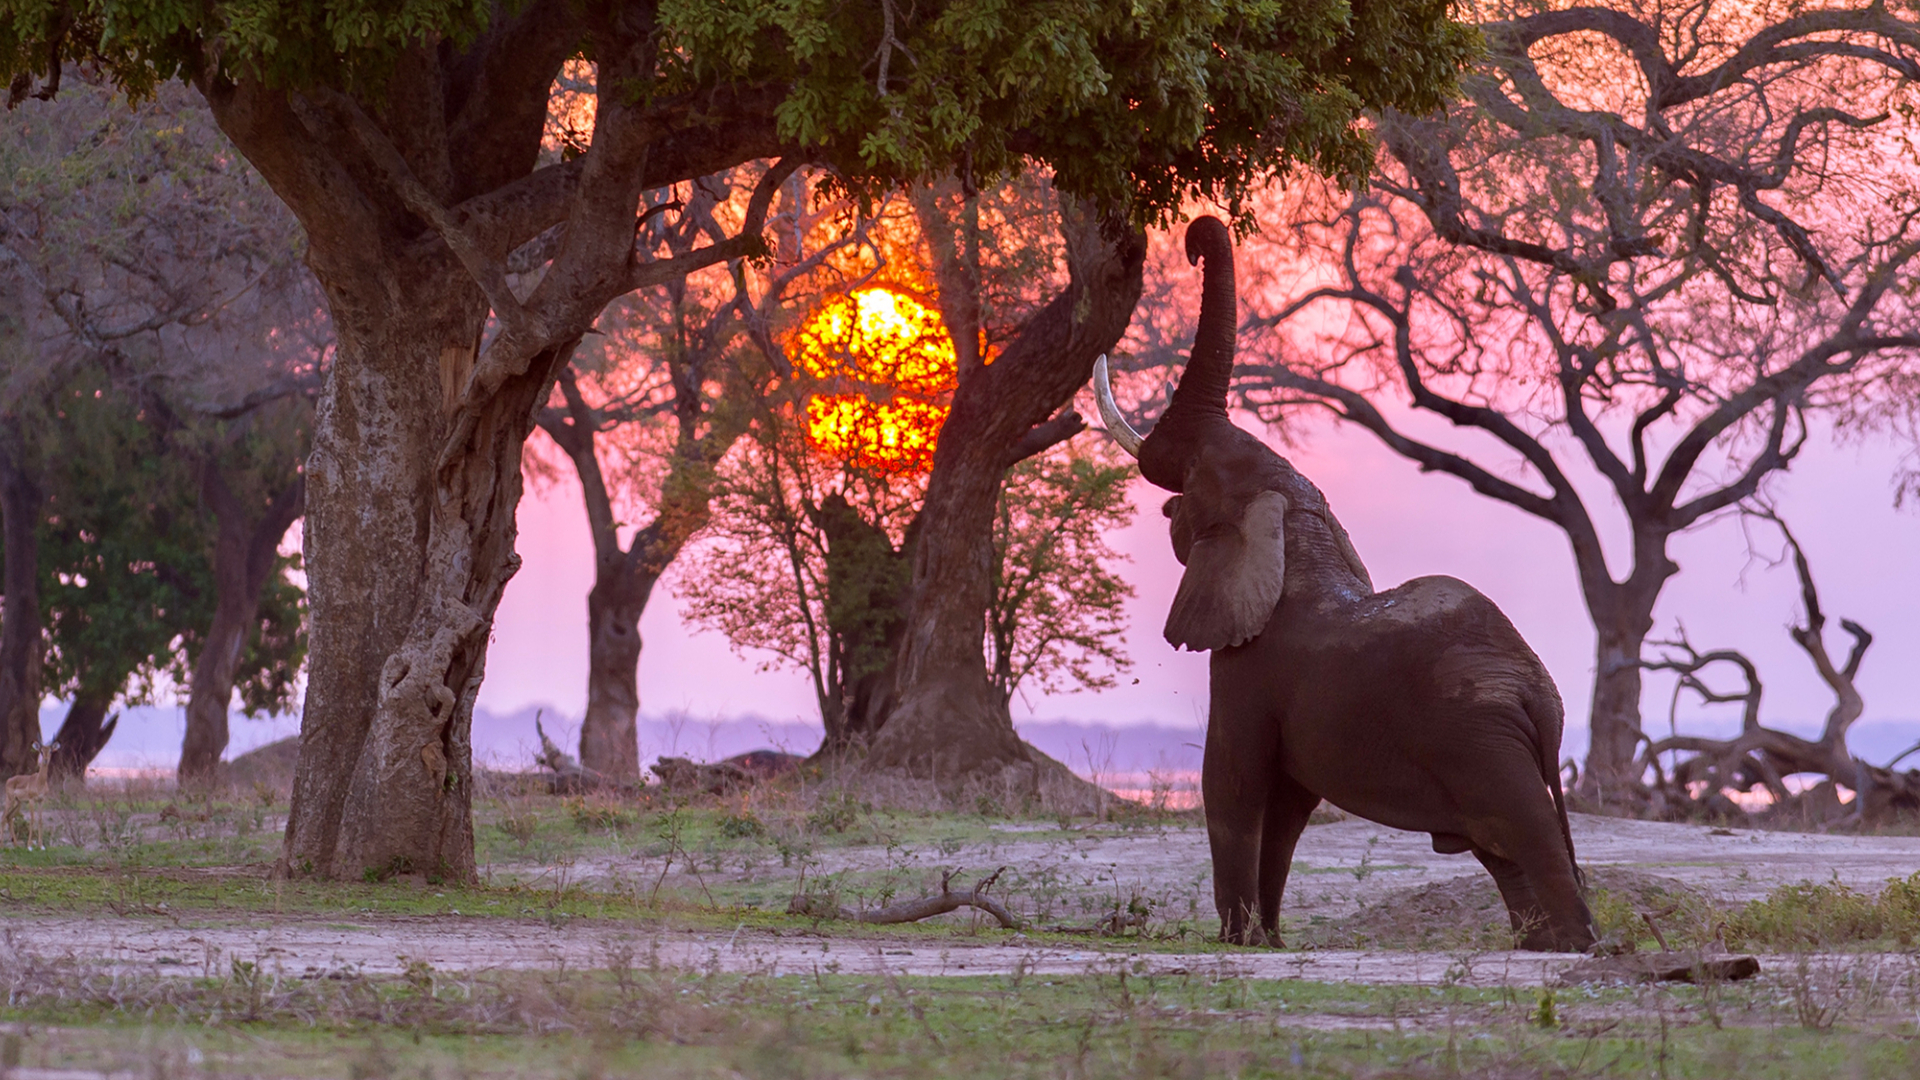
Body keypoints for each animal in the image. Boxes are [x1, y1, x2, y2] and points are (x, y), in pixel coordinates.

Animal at [1092, 215, 1595, 952]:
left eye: (1195, 482)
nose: (1189, 238)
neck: (1297, 527)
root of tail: (1540, 699)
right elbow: (1287, 808)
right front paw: (1267, 941)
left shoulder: (1249, 669)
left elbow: (1234, 783)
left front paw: (1238, 942)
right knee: (1506, 853)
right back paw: (1541, 946)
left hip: (1483, 739)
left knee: (1525, 834)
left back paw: (1575, 947)